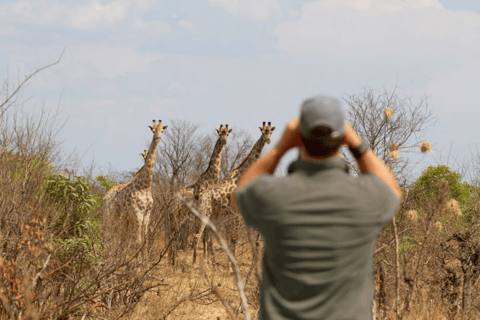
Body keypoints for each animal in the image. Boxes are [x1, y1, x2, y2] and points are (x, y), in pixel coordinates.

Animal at [102, 119, 168, 249]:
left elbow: (145, 240)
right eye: (153, 130)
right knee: (108, 232)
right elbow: (138, 241)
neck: (145, 186)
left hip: (121, 216)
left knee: (118, 235)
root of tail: (106, 196)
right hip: (109, 213)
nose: (158, 139)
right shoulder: (137, 212)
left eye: (162, 130)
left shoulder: (147, 213)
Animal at [194, 121, 276, 266]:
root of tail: (201, 194)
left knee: (207, 236)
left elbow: (237, 239)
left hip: (212, 214)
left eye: (270, 132)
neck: (241, 175)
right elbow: (234, 238)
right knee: (198, 235)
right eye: (263, 132)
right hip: (204, 212)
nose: (268, 140)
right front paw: (231, 267)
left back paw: (210, 265)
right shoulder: (237, 214)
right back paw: (195, 264)